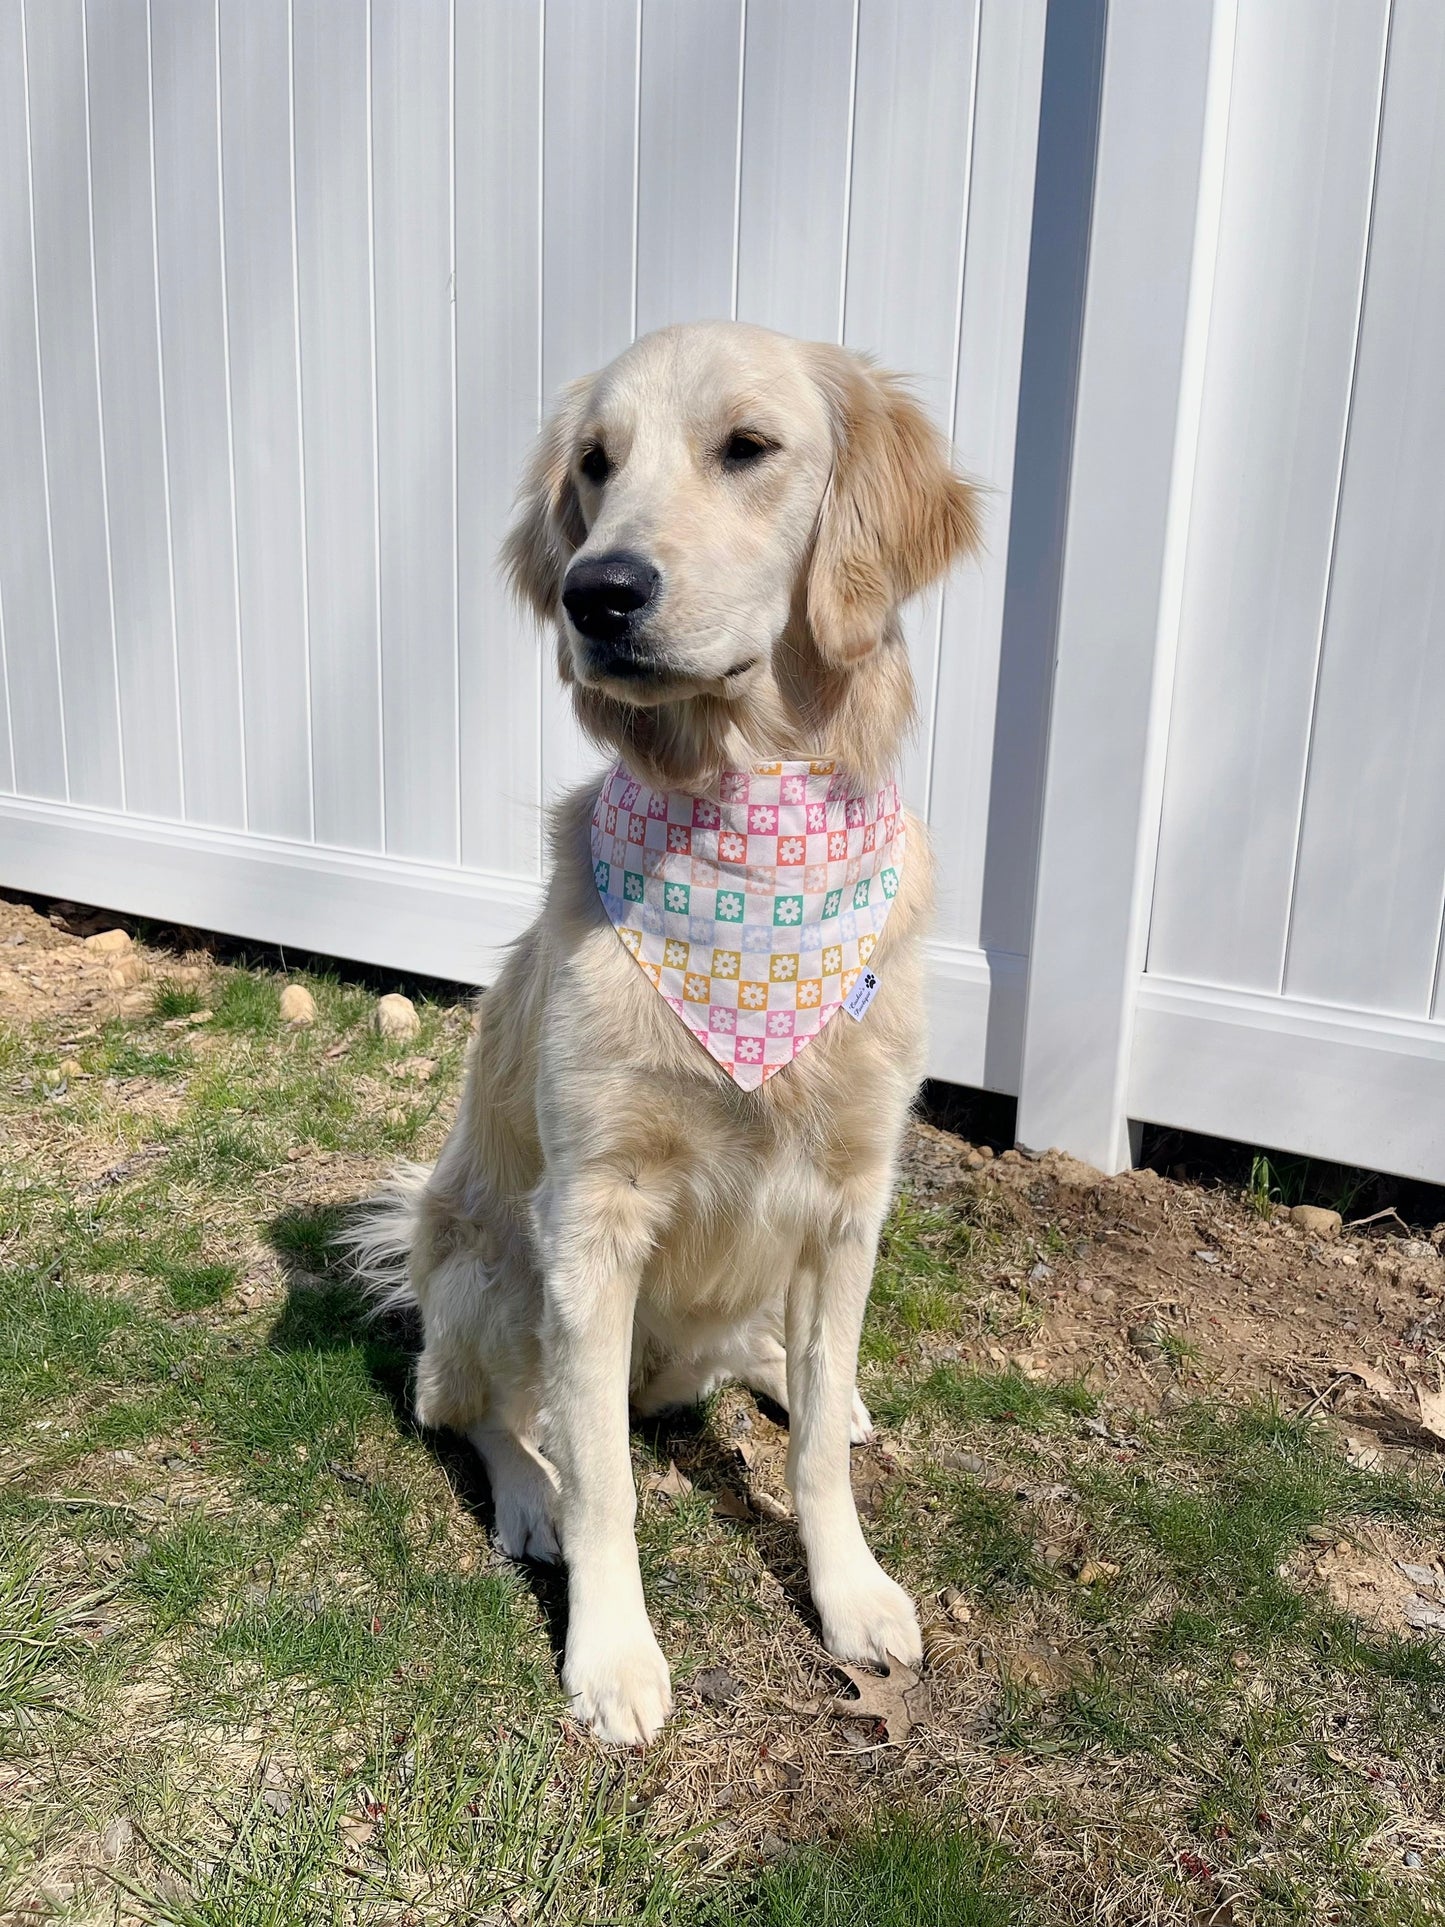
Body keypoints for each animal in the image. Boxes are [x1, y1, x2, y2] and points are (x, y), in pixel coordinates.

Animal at [354, 319, 978, 1749]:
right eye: (595, 463)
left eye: (747, 447)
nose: (597, 593)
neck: (742, 826)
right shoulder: (592, 1216)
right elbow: (604, 1482)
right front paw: (611, 1654)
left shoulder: (851, 1195)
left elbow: (810, 1452)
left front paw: (848, 1588)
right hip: (489, 1268)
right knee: (471, 1406)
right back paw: (525, 1494)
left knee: (780, 1372)